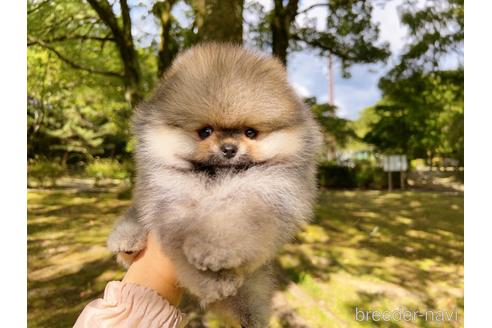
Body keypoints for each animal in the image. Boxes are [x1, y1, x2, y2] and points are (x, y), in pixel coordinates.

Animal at [107, 42, 322, 326]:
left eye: (250, 132)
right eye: (205, 131)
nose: (229, 149)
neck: (217, 179)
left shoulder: (266, 198)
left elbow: (233, 224)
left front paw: (210, 250)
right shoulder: (170, 202)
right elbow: (178, 244)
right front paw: (212, 281)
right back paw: (126, 240)